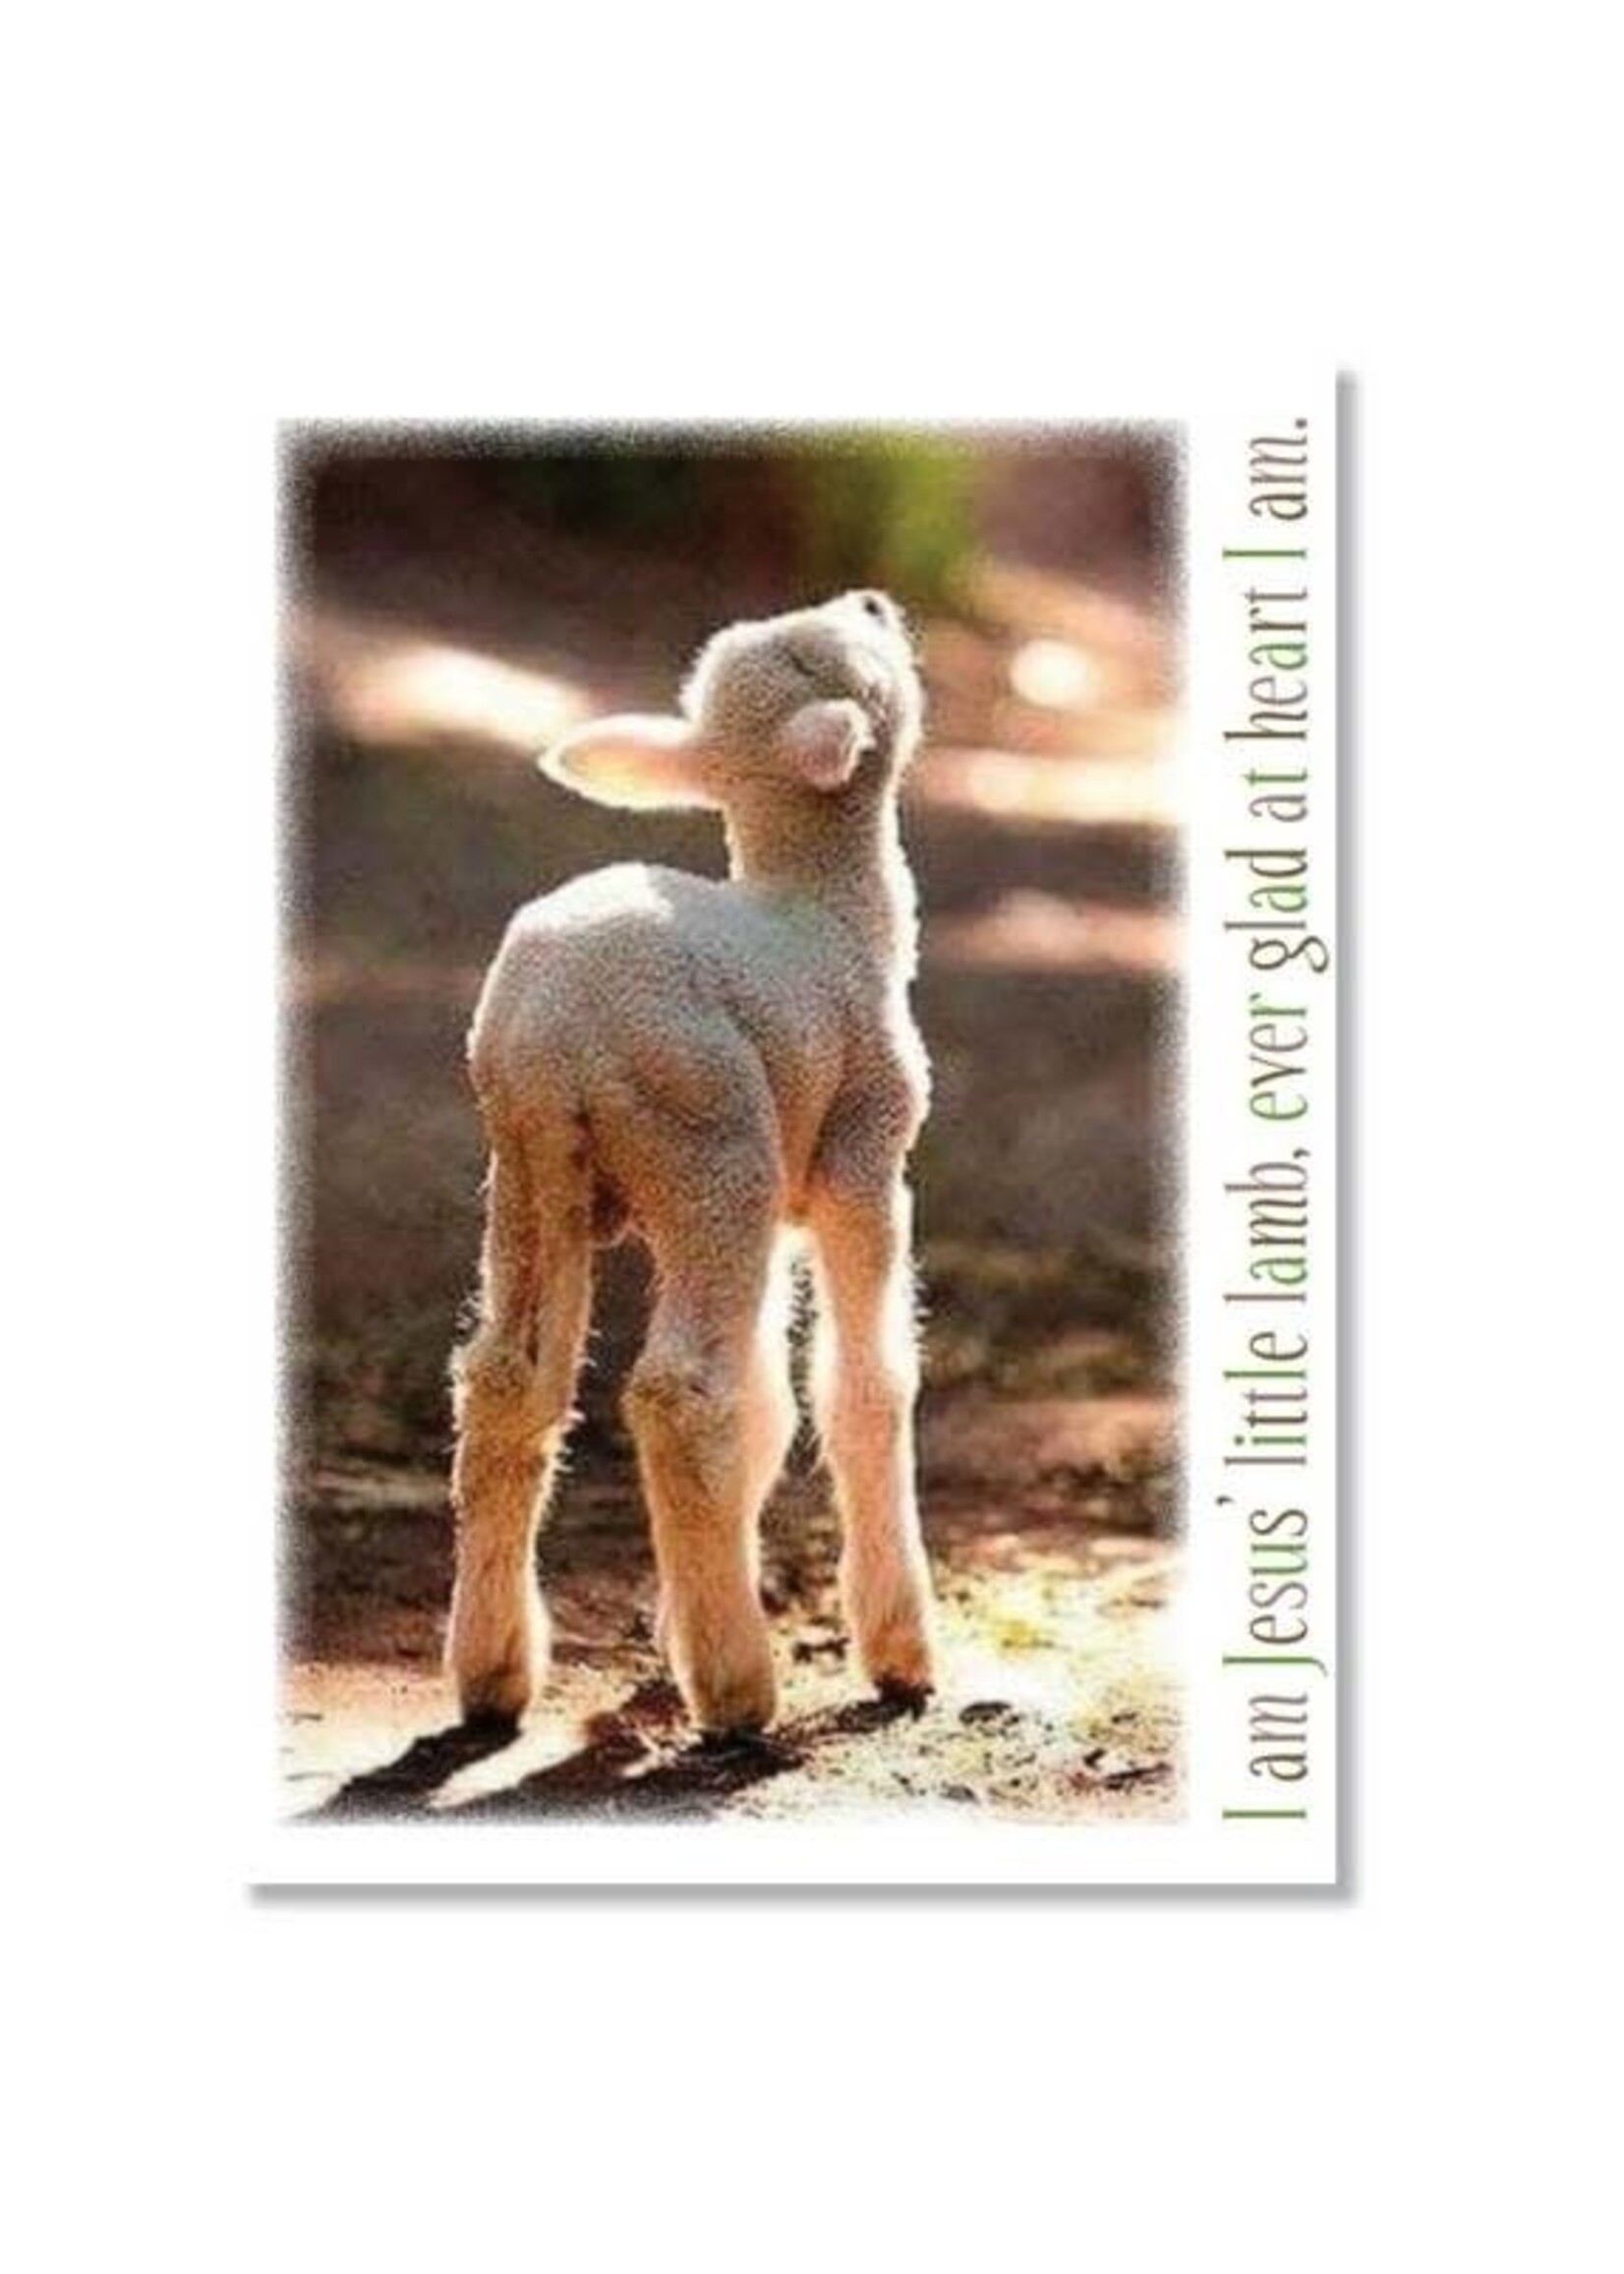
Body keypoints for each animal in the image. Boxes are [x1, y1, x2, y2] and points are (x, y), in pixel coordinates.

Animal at [446, 588, 938, 1736]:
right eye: (825, 658)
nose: (871, 599)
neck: (826, 906)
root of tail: (560, 1026)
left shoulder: (784, 1196)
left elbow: (768, 1402)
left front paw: (677, 1625)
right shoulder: (860, 1154)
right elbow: (860, 1385)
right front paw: (898, 1651)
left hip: (530, 1165)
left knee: (510, 1380)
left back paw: (493, 1676)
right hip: (711, 1141)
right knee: (679, 1396)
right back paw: (737, 1689)